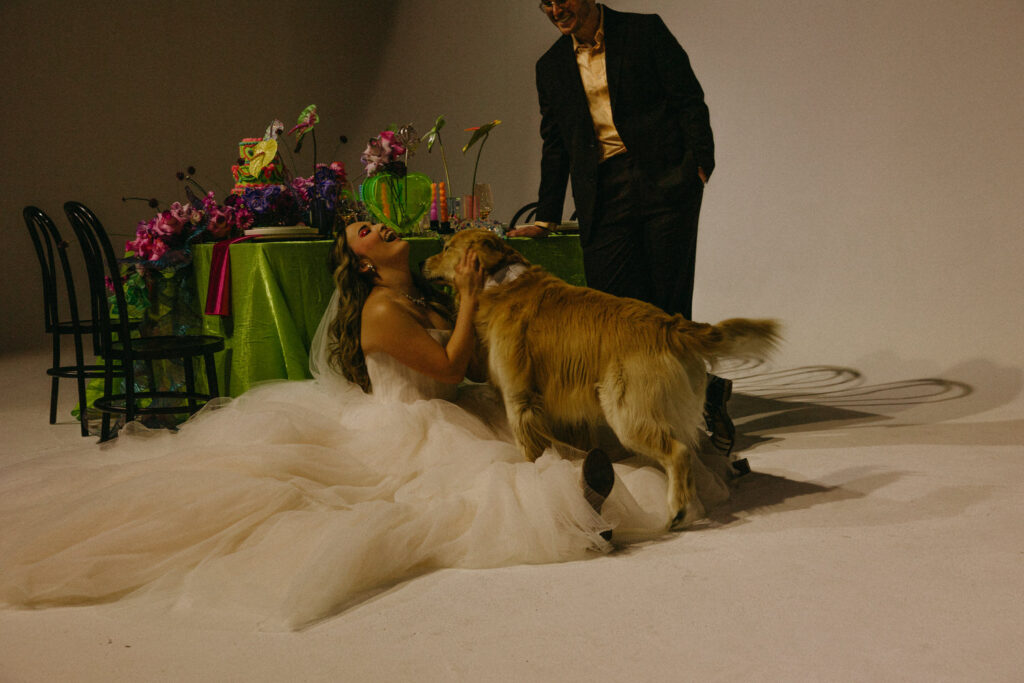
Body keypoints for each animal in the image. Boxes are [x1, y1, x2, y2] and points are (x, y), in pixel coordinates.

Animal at [419, 229, 778, 528]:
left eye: (446, 247)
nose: (421, 261)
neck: (500, 282)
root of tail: (671, 324)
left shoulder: (520, 398)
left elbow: (530, 448)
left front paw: (537, 476)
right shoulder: (565, 408)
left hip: (626, 413)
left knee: (679, 452)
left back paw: (677, 510)